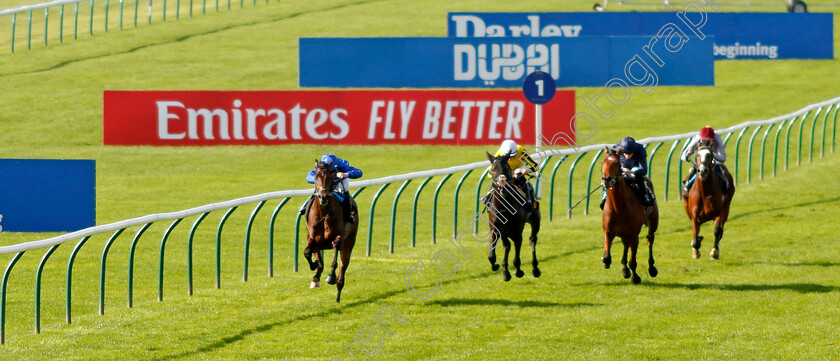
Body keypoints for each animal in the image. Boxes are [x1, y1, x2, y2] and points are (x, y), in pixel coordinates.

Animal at [304, 160, 356, 300]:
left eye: (331, 178)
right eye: (316, 178)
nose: (324, 197)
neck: (323, 213)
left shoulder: (338, 237)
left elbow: (336, 249)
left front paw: (331, 276)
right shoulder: (312, 239)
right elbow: (307, 253)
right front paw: (314, 266)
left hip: (349, 242)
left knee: (343, 265)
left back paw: (338, 290)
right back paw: (316, 278)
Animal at [482, 152, 540, 282]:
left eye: (508, 168)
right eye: (493, 169)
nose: (502, 187)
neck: (504, 208)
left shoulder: (517, 230)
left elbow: (517, 248)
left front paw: (517, 271)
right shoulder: (495, 229)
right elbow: (492, 255)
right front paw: (498, 267)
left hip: (535, 220)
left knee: (532, 239)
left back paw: (535, 269)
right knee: (508, 245)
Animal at [600, 148, 660, 282]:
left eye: (617, 163)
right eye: (602, 162)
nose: (607, 180)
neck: (618, 207)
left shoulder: (634, 234)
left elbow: (633, 261)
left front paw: (635, 278)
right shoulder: (608, 231)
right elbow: (606, 258)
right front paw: (622, 269)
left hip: (653, 221)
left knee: (650, 239)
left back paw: (651, 268)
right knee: (625, 244)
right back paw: (624, 268)